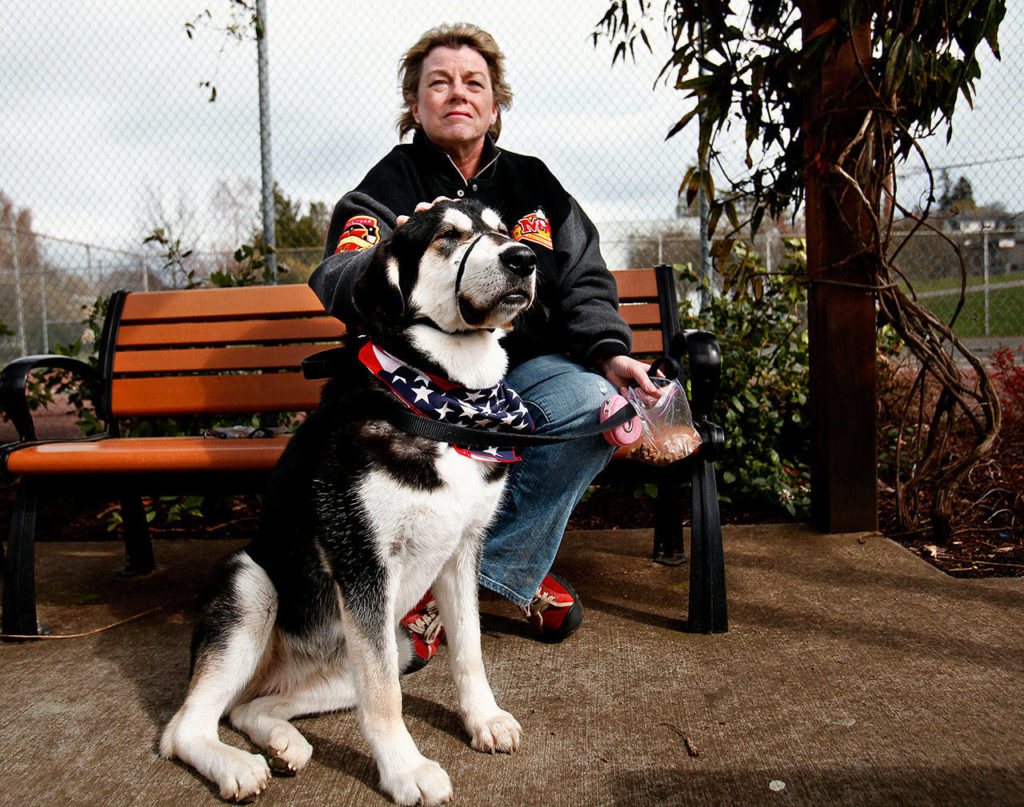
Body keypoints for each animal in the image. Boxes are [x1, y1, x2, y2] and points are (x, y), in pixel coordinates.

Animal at [159, 198, 536, 802]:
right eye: (448, 236)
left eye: (504, 229)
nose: (524, 258)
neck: (439, 401)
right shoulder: (362, 563)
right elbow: (384, 698)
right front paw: (406, 771)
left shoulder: (463, 551)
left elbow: (469, 651)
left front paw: (483, 720)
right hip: (250, 584)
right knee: (183, 727)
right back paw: (235, 765)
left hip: (394, 645)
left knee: (247, 708)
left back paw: (282, 741)